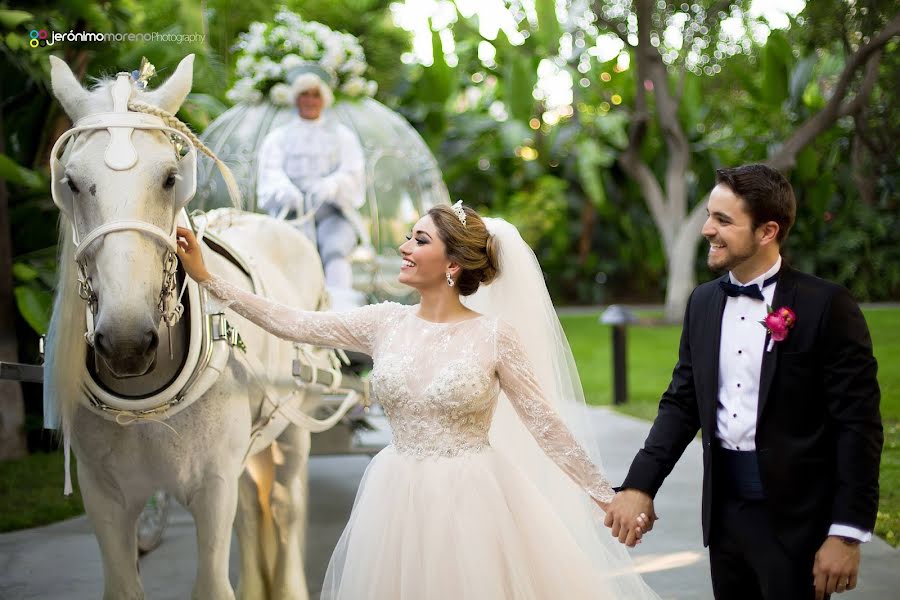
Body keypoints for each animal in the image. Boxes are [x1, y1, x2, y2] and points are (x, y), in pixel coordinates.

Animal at [46, 52, 334, 600]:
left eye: (169, 177)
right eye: (69, 181)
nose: (126, 343)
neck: (145, 404)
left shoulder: (212, 485)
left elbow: (213, 584)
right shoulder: (104, 495)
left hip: (294, 425)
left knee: (285, 506)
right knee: (252, 507)